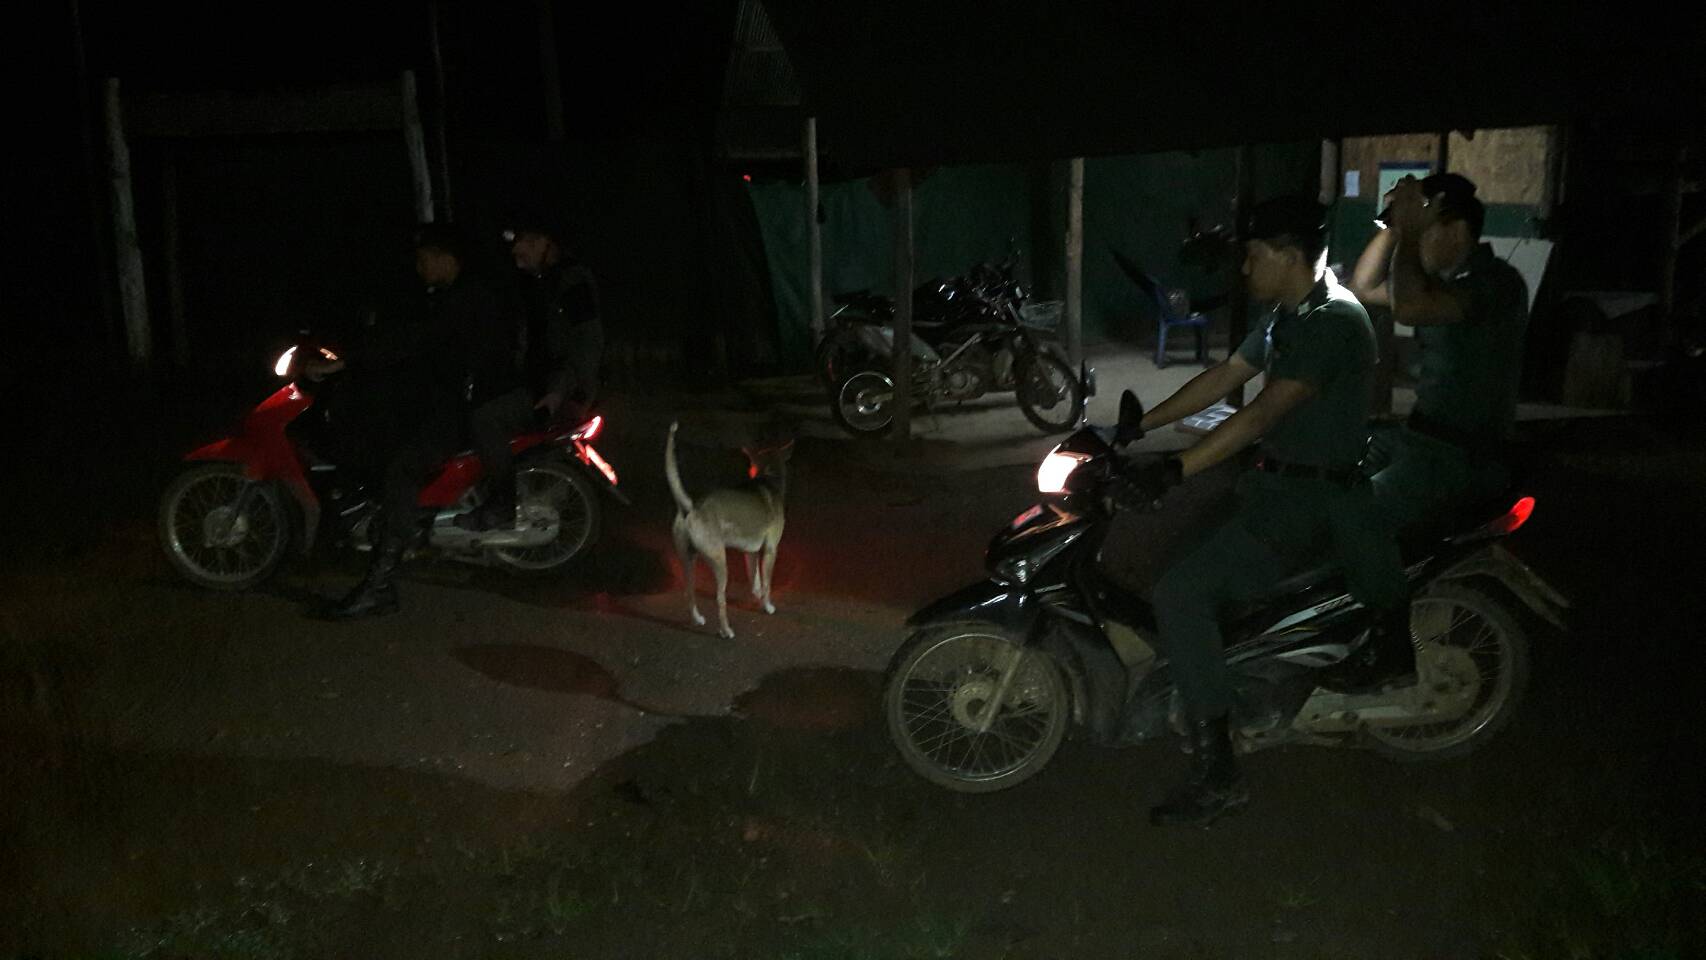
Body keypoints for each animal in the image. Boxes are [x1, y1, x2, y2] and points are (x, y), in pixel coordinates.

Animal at [666, 422, 792, 639]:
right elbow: (767, 583)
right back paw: (725, 630)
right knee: (720, 600)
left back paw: (697, 619)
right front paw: (767, 606)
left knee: (689, 592)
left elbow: (755, 579)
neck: (768, 477)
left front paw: (757, 595)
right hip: (720, 563)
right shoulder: (770, 550)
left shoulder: (750, 552)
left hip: (688, 560)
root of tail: (692, 507)